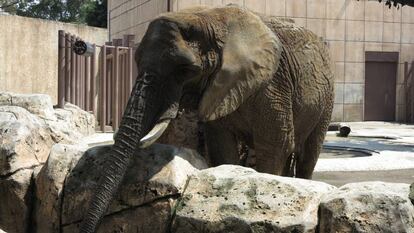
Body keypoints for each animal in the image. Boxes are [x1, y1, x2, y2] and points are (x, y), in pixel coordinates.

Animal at [79, 4, 334, 232]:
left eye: (185, 70)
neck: (209, 17)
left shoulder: (273, 85)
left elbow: (274, 146)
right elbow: (222, 147)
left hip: (327, 97)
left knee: (308, 154)